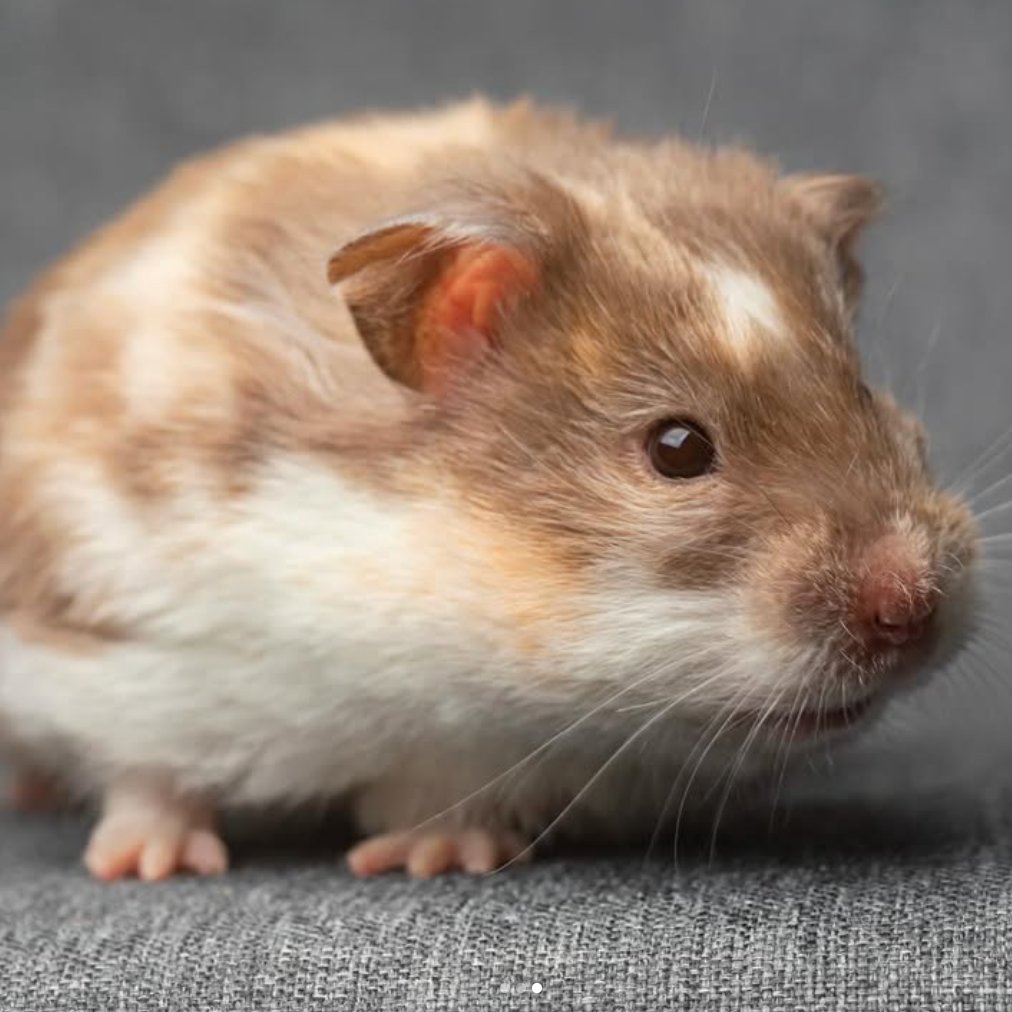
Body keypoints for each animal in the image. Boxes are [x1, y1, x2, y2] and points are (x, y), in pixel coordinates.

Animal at [0, 99, 978, 880]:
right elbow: (148, 775)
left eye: (863, 392)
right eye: (677, 448)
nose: (914, 609)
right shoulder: (120, 637)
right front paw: (149, 868)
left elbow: (448, 800)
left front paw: (438, 858)